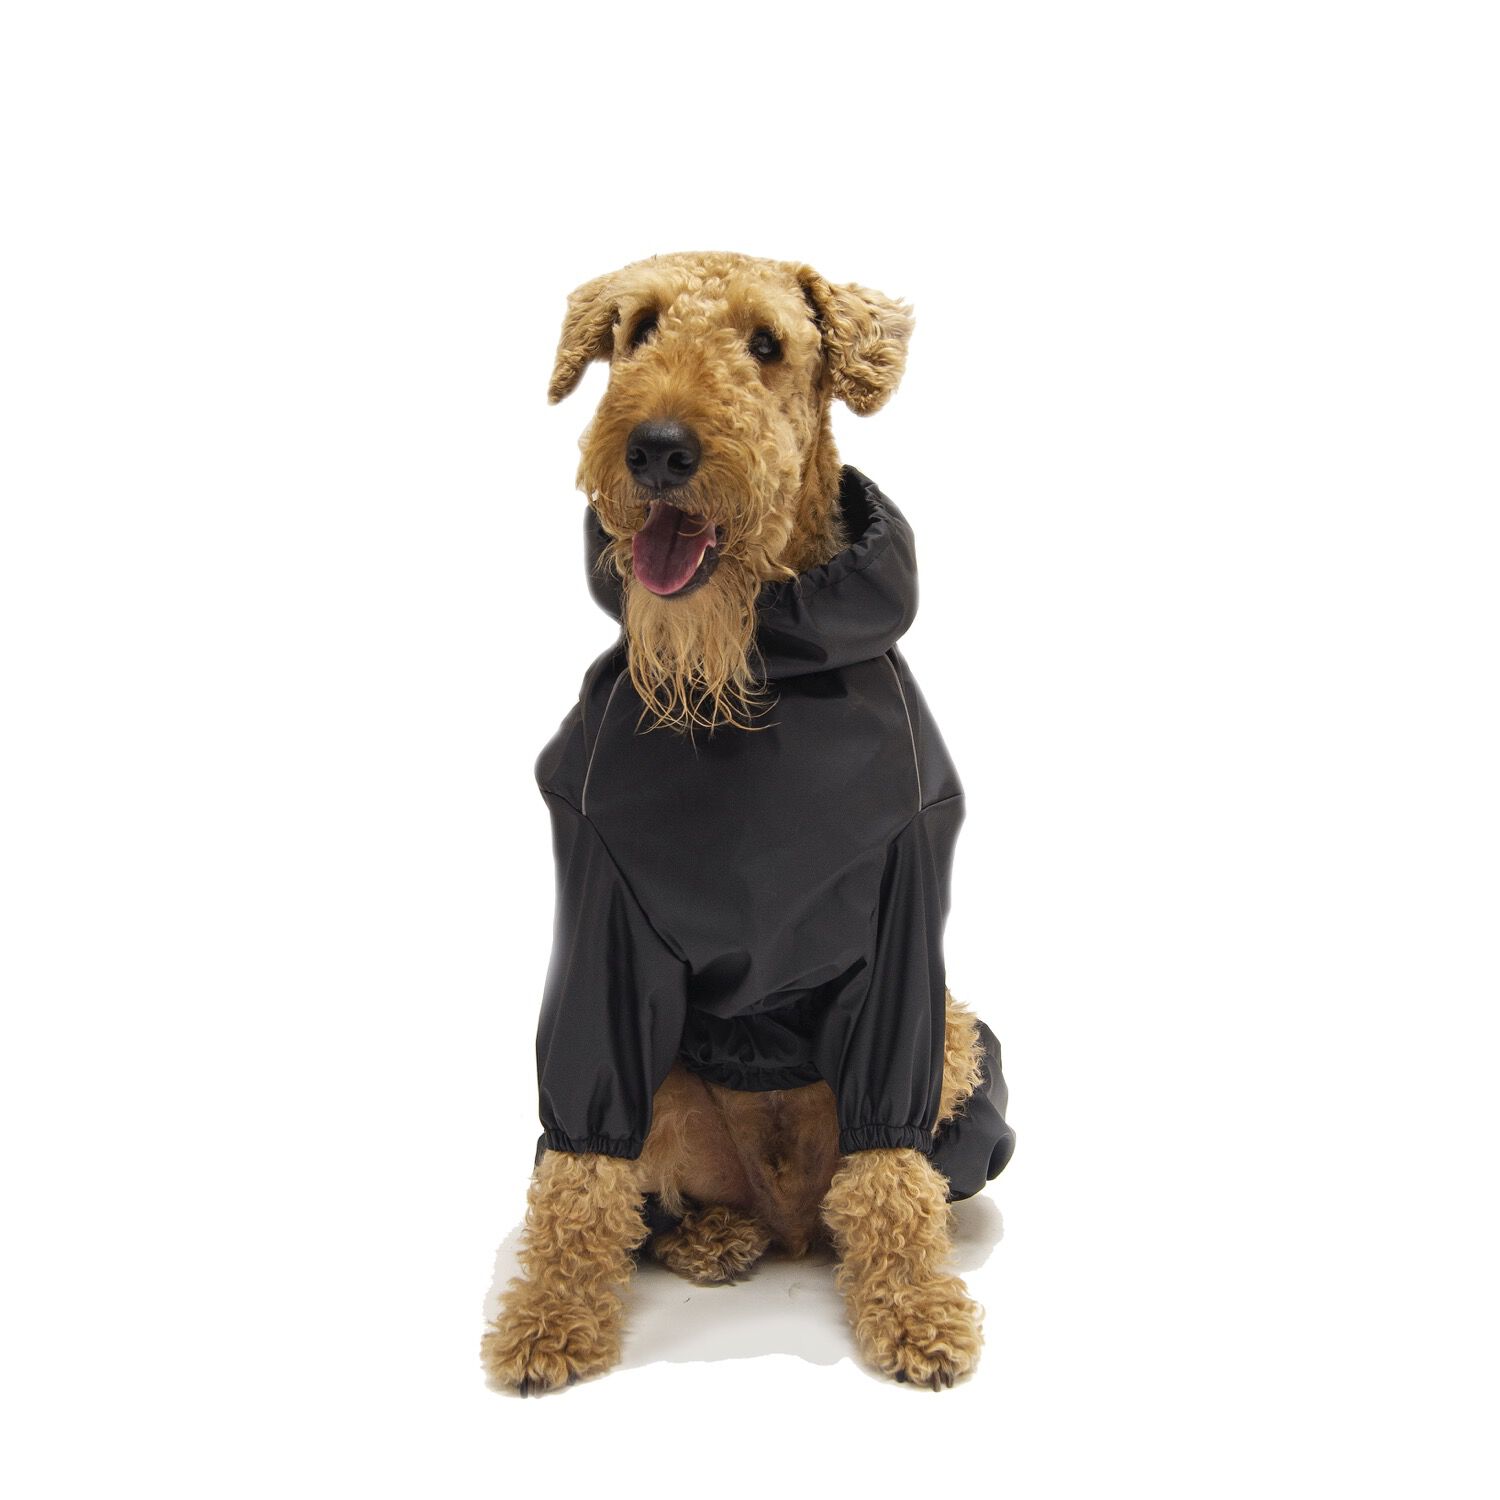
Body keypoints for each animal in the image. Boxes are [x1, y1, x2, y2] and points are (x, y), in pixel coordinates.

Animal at [482, 250, 1015, 1393]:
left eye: (768, 343)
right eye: (634, 330)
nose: (657, 447)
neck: (747, 682)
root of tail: (789, 1219)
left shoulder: (904, 915)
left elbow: (890, 1169)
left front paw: (917, 1314)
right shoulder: (601, 924)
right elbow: (579, 1171)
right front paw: (549, 1322)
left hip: (960, 1038)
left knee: (885, 1184)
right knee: (659, 1199)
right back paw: (714, 1238)